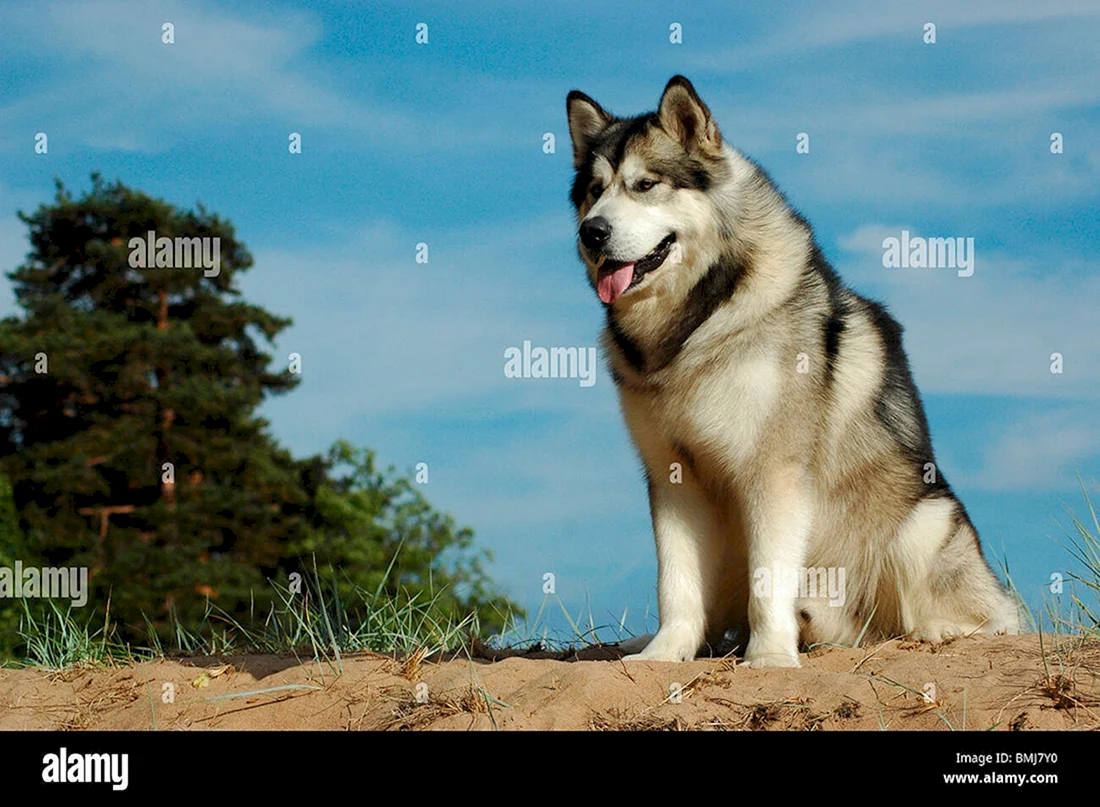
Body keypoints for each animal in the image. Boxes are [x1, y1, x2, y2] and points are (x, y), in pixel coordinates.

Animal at [567, 77, 1020, 668]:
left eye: (645, 185)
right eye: (594, 191)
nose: (591, 232)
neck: (697, 321)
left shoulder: (775, 471)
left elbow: (769, 578)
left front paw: (770, 658)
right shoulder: (672, 473)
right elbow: (676, 582)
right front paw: (665, 653)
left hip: (924, 522)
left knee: (993, 617)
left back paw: (939, 631)